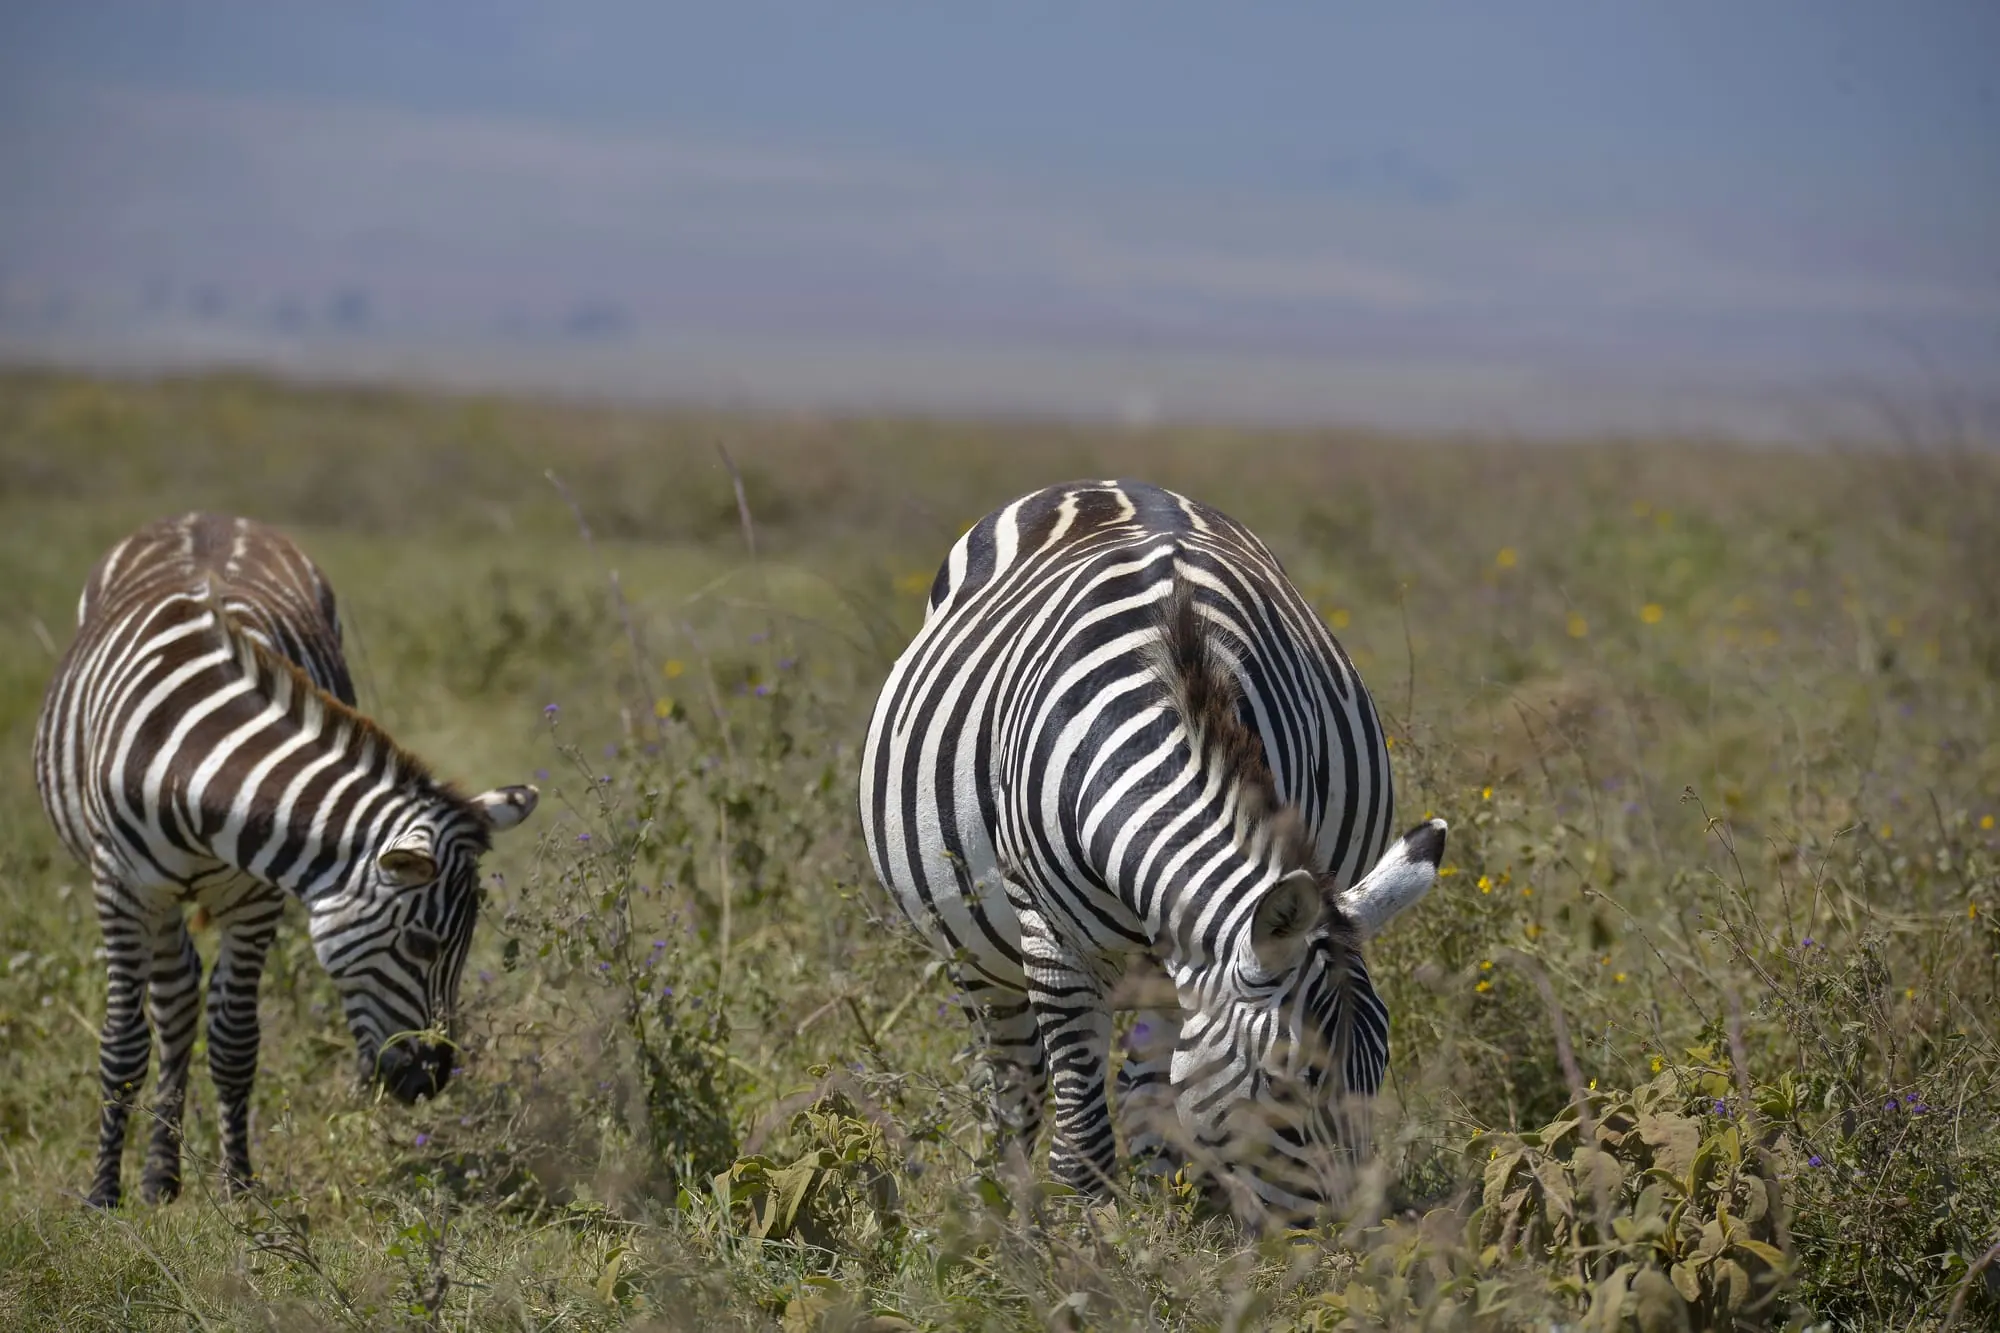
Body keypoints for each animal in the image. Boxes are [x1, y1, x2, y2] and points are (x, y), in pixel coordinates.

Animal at [33, 513, 539, 1208]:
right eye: (423, 946)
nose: (432, 1081)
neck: (194, 766)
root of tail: (207, 515)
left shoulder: (256, 895)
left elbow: (234, 1040)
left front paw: (240, 1188)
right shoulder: (119, 884)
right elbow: (123, 1043)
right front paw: (101, 1195)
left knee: (181, 999)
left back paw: (162, 1174)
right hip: (152, 893)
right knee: (171, 1003)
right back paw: (153, 1177)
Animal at [858, 480, 1445, 1227]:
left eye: (1379, 1068)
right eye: (1285, 1081)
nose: (1351, 1235)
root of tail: (1098, 484)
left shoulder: (1193, 937)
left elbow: (1159, 1108)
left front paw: (1164, 1231)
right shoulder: (1053, 940)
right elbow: (1080, 1136)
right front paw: (1094, 1245)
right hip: (974, 953)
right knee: (1014, 1082)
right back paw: (1001, 1210)